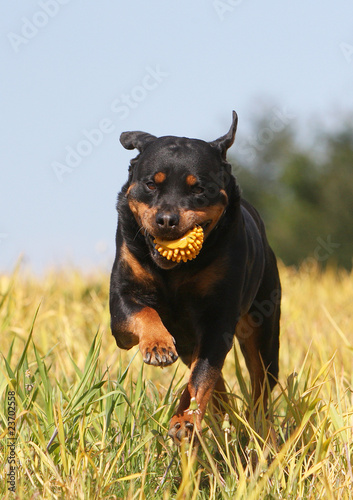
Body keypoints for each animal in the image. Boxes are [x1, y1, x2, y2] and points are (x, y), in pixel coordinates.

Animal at [108, 111, 280, 444]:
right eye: (151, 184)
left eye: (198, 189)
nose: (166, 219)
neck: (173, 273)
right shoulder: (121, 308)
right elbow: (144, 312)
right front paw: (158, 345)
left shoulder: (218, 319)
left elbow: (202, 376)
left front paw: (187, 419)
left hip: (263, 327)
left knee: (259, 382)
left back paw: (255, 429)